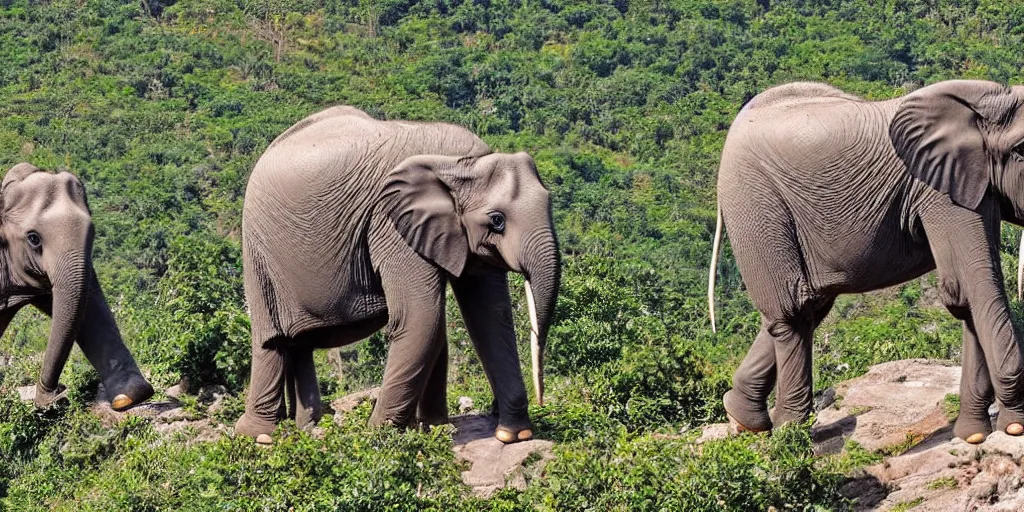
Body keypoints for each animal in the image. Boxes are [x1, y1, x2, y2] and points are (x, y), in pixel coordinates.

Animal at [233, 104, 561, 444]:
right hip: (258, 250)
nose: (541, 401)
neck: (456, 163)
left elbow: (488, 315)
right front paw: (380, 436)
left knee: (300, 344)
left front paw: (510, 434)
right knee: (271, 341)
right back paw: (258, 435)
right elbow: (420, 317)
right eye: (497, 220)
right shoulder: (388, 223)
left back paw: (309, 430)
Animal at [712, 79, 1024, 444]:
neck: (988, 102)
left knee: (810, 304)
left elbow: (964, 292)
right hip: (754, 202)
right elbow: (972, 288)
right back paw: (790, 433)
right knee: (794, 311)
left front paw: (972, 435)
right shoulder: (937, 190)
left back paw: (744, 418)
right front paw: (1013, 427)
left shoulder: (973, 185)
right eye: (1021, 150)